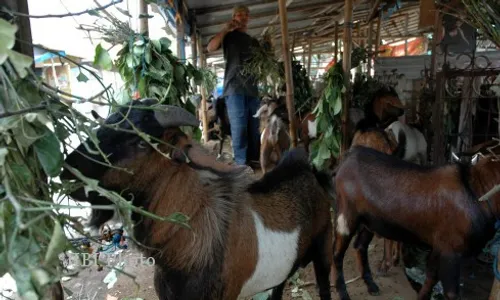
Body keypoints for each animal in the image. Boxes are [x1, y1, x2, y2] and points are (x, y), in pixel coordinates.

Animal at [332, 144, 500, 300]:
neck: (476, 191)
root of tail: (349, 155)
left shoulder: (439, 245)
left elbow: (431, 276)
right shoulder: (451, 250)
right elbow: (451, 293)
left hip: (369, 221)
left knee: (360, 245)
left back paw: (371, 286)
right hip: (346, 215)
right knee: (337, 253)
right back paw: (343, 293)